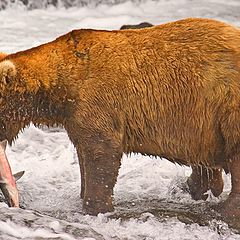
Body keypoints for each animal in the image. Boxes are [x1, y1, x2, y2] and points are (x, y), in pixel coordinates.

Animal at [0, 17, 240, 216]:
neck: (64, 85)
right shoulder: (74, 118)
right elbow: (84, 154)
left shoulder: (98, 101)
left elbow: (102, 155)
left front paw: (95, 207)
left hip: (226, 104)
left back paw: (224, 209)